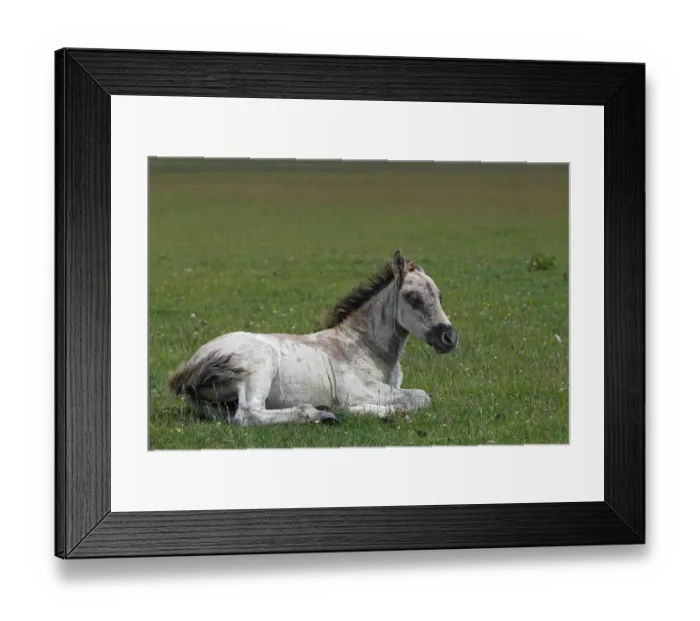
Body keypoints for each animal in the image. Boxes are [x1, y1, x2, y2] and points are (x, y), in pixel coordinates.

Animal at [167, 250, 459, 426]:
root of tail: (190, 366)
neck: (365, 347)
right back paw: (319, 413)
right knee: (249, 413)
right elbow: (420, 397)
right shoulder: (357, 390)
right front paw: (354, 410)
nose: (449, 337)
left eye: (440, 296)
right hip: (260, 368)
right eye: (413, 298)